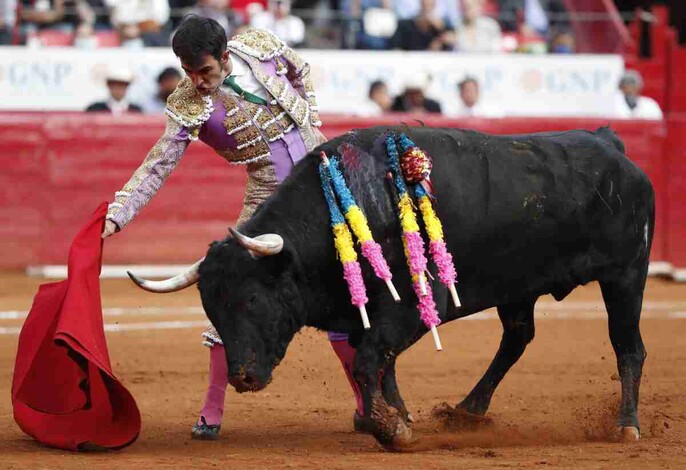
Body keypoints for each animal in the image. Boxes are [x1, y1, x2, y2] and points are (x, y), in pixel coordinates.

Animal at [198, 125, 656, 448]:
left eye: (252, 298)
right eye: (212, 310)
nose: (243, 377)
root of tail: (611, 145)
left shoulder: (410, 308)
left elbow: (368, 361)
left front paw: (388, 428)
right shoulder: (373, 317)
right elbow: (381, 364)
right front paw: (397, 415)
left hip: (626, 275)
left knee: (628, 347)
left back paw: (627, 426)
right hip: (518, 287)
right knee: (517, 338)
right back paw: (468, 410)